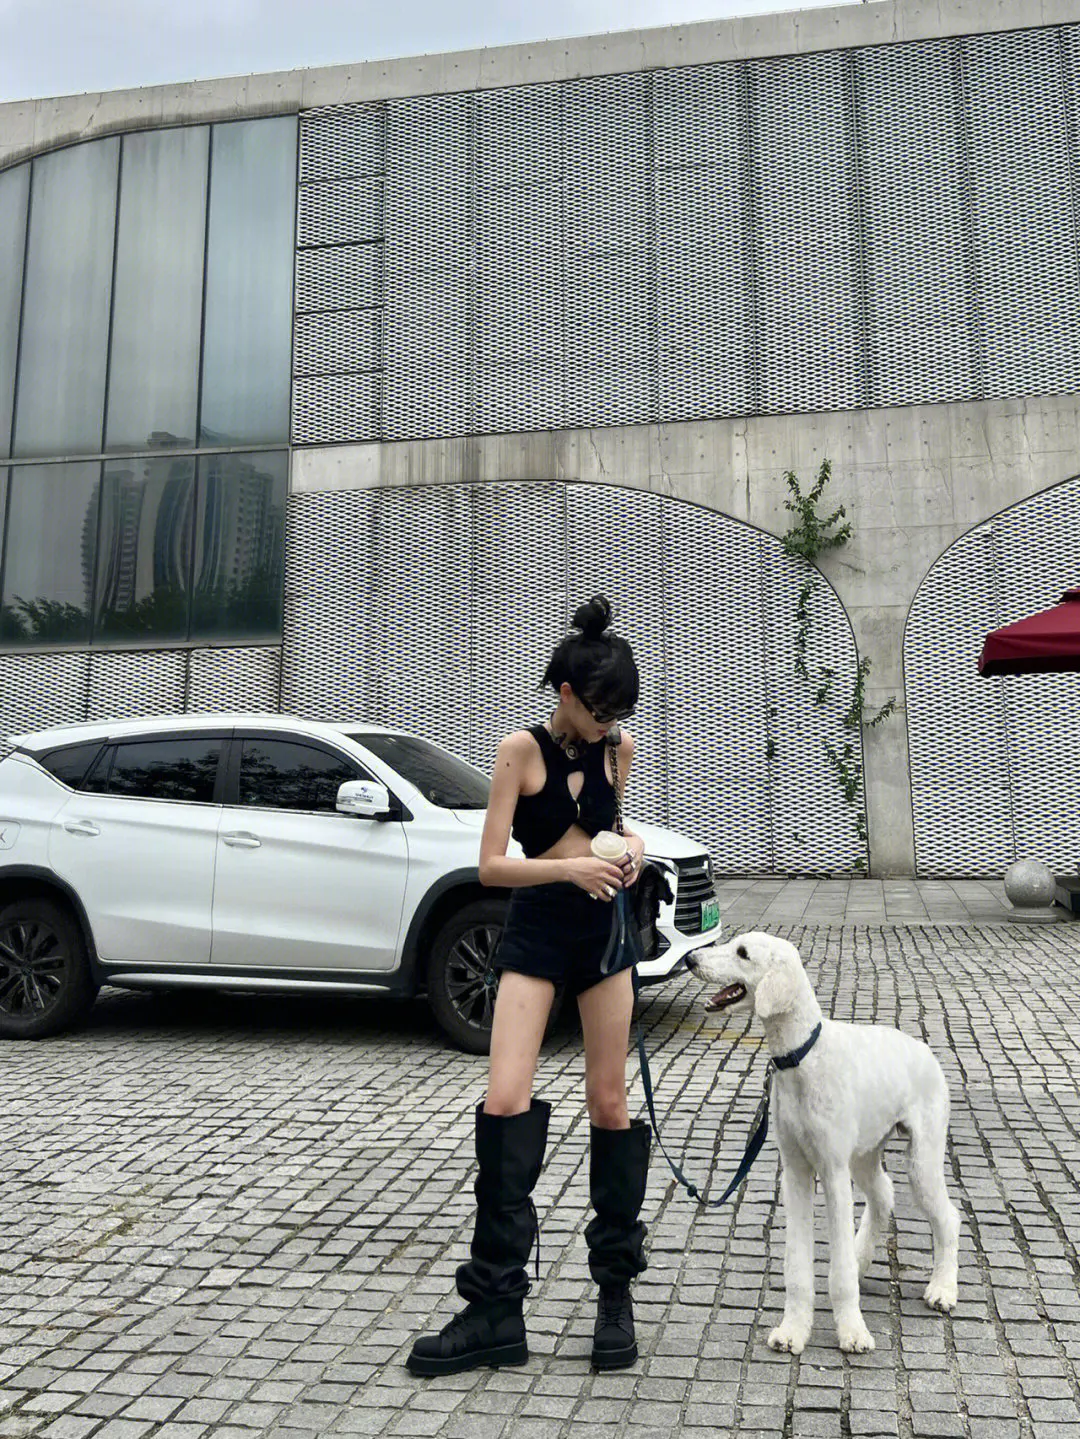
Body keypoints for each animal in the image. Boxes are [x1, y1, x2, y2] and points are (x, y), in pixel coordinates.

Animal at [686, 932, 960, 1354]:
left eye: (743, 953)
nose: (690, 959)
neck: (802, 1056)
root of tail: (924, 1048)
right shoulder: (796, 1172)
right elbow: (796, 1265)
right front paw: (793, 1329)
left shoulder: (832, 1172)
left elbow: (838, 1268)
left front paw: (852, 1331)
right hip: (865, 1154)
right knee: (883, 1195)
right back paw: (864, 1259)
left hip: (922, 1158)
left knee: (948, 1217)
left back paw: (943, 1288)